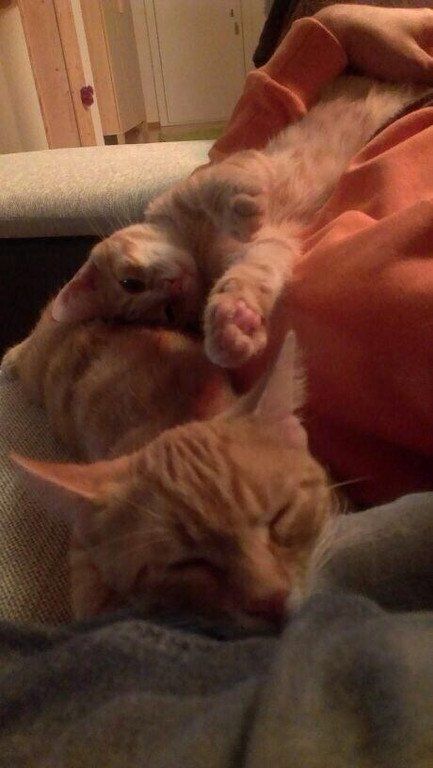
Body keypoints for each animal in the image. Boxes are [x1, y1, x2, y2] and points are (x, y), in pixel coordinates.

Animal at [48, 75, 429, 370]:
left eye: (131, 283)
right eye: (169, 313)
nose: (174, 286)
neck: (198, 248)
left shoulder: (228, 170)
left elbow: (219, 187)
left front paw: (241, 208)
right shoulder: (270, 246)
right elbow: (247, 277)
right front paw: (230, 328)